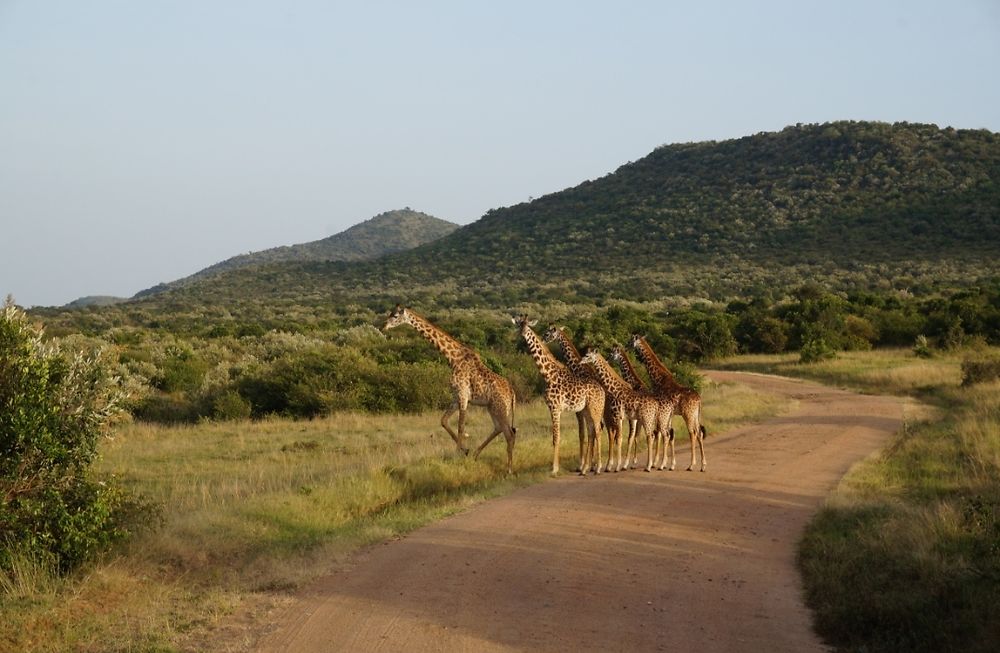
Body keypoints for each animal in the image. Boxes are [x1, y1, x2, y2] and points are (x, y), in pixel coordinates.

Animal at [382, 306, 520, 474]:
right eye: (389, 313)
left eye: (395, 316)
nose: (383, 326)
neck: (452, 358)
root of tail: (512, 393)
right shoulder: (455, 397)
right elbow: (444, 421)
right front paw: (465, 450)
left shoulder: (463, 395)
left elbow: (460, 427)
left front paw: (457, 456)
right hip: (492, 407)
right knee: (500, 428)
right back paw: (476, 454)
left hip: (500, 408)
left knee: (509, 433)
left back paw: (509, 469)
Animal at [512, 314, 604, 474]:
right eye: (519, 324)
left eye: (528, 325)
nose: (522, 333)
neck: (548, 374)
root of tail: (602, 390)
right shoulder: (555, 408)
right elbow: (558, 436)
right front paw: (559, 466)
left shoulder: (555, 408)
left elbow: (557, 437)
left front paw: (554, 468)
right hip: (587, 410)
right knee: (593, 431)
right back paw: (587, 468)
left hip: (595, 409)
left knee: (598, 431)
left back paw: (598, 467)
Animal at [544, 324, 620, 468]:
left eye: (549, 333)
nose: (544, 338)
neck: (579, 370)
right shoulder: (582, 409)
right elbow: (586, 432)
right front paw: (588, 463)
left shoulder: (580, 410)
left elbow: (584, 433)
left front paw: (585, 463)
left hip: (606, 412)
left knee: (609, 430)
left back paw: (608, 463)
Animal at [628, 336, 708, 468]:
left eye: (630, 341)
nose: (626, 346)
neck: (658, 379)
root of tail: (699, 400)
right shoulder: (668, 414)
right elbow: (667, 434)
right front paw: (666, 463)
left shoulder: (660, 410)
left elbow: (660, 433)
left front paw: (656, 462)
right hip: (696, 415)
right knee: (700, 432)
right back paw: (703, 464)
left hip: (688, 414)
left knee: (692, 433)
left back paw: (691, 465)